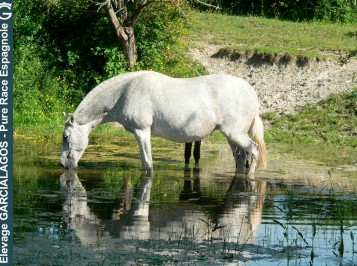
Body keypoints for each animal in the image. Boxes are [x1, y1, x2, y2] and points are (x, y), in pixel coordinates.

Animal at [61, 70, 266, 175]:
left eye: (66, 136)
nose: (63, 164)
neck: (125, 91)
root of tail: (251, 92)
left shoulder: (142, 131)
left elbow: (148, 163)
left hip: (235, 134)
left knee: (254, 150)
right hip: (232, 137)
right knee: (240, 157)